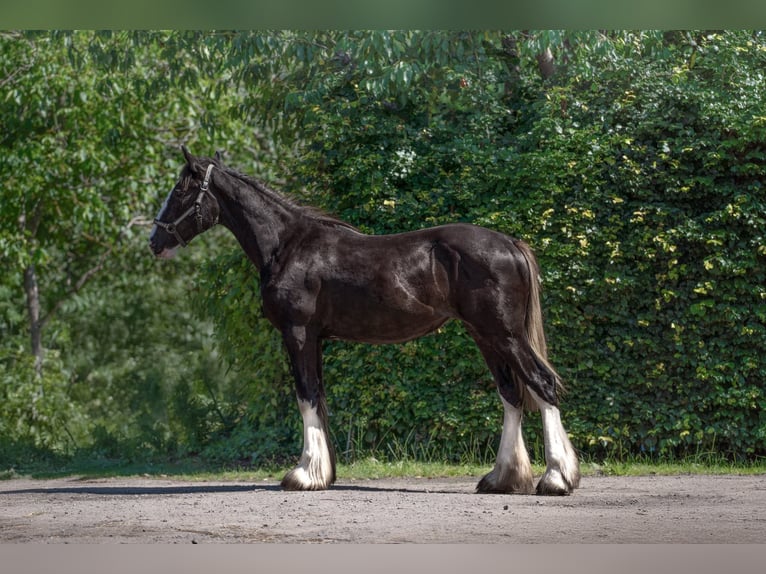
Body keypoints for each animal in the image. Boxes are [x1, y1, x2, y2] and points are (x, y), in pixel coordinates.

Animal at [149, 146, 580, 495]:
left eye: (181, 190)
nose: (155, 241)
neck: (287, 245)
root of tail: (510, 243)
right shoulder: (316, 338)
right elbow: (318, 397)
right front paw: (323, 473)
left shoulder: (297, 333)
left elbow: (305, 396)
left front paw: (303, 474)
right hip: (486, 336)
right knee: (511, 395)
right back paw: (502, 479)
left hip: (504, 334)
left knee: (541, 385)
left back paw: (556, 479)